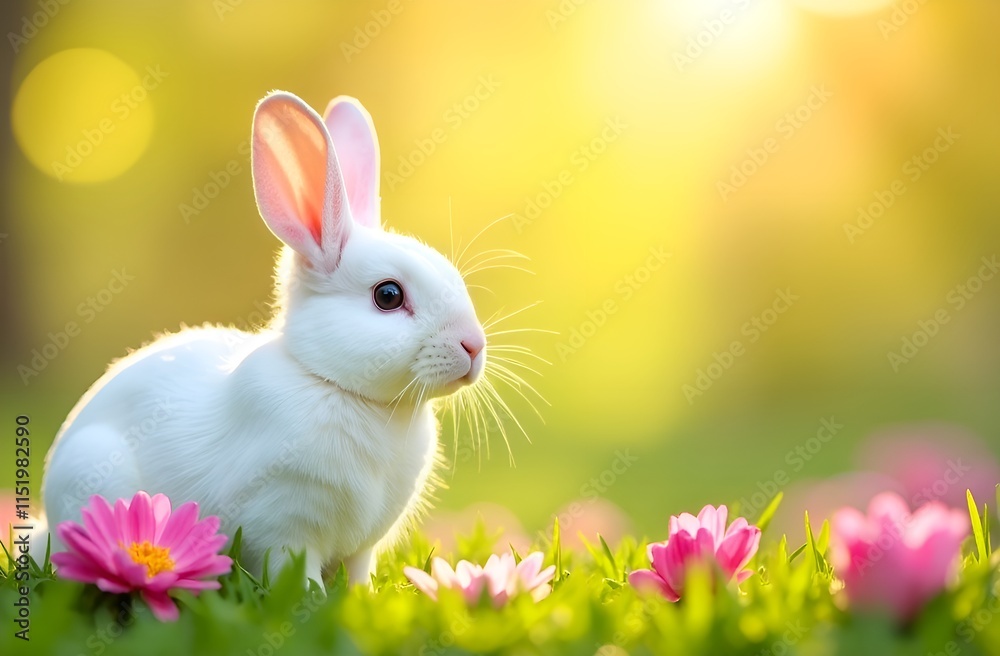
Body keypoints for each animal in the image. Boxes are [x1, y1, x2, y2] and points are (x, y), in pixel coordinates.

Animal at [39, 90, 487, 586]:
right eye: (388, 296)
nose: (473, 346)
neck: (340, 388)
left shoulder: (361, 548)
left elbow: (356, 577)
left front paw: (361, 598)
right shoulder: (283, 525)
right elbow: (297, 576)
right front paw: (312, 599)